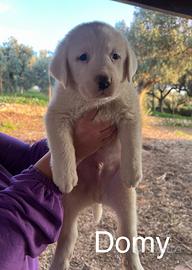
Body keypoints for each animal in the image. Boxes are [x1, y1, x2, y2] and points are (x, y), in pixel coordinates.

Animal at [45, 21, 143, 270]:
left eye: (115, 56)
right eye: (83, 57)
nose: (104, 81)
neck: (95, 103)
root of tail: (97, 196)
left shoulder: (130, 111)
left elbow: (132, 143)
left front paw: (133, 172)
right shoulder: (56, 114)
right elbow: (62, 145)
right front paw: (65, 175)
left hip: (126, 205)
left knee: (128, 242)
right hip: (69, 212)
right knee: (66, 242)